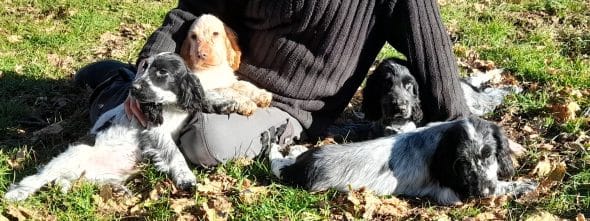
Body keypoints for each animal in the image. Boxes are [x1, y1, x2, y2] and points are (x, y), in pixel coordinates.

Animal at [4, 52, 237, 201]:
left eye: (162, 72)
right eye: (144, 68)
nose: (133, 88)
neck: (169, 106)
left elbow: (203, 96)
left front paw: (227, 102)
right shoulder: (154, 130)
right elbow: (174, 153)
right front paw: (185, 177)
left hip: (105, 173)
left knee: (90, 181)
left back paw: (119, 191)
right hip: (74, 154)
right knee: (39, 177)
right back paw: (16, 194)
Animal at [270, 116, 540, 205]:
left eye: (489, 154)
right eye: (462, 162)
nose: (482, 192)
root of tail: (301, 166)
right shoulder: (454, 193)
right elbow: (504, 187)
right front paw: (526, 185)